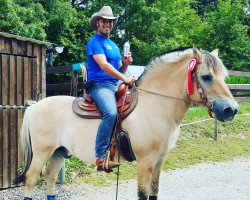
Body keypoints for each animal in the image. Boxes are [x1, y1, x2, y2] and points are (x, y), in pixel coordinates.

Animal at [13, 46, 238, 199]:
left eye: (224, 75)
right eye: (206, 76)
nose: (231, 110)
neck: (155, 106)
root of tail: (35, 106)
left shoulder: (159, 161)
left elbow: (154, 192)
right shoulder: (145, 162)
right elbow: (142, 195)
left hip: (60, 152)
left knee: (50, 176)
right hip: (42, 151)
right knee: (32, 178)